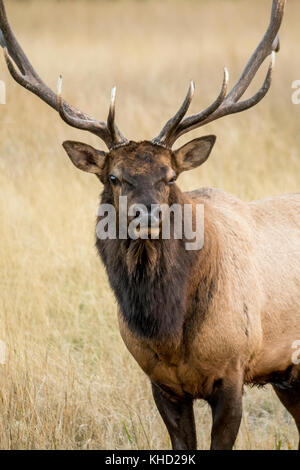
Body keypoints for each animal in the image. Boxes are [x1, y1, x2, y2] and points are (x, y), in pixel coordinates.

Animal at [1, 0, 298, 450]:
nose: (148, 215)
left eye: (169, 176)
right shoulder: (162, 383)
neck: (169, 333)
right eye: (114, 176)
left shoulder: (234, 370)